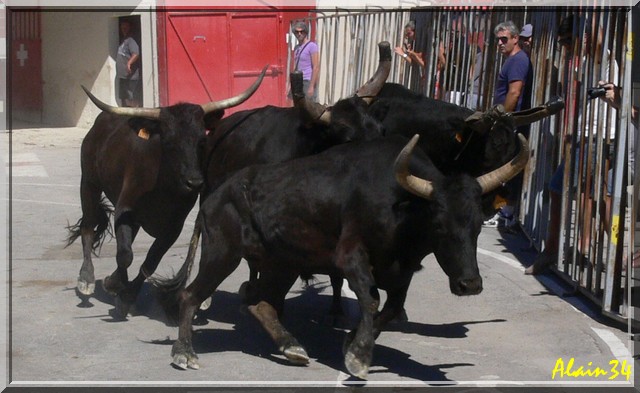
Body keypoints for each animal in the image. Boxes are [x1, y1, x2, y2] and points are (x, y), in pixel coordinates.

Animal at [152, 131, 528, 376]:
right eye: (439, 224)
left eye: (477, 224)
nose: (470, 284)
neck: (400, 203)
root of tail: (214, 196)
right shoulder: (350, 258)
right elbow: (371, 300)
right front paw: (359, 357)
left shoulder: (402, 271)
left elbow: (392, 309)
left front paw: (351, 342)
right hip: (222, 254)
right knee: (190, 295)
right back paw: (184, 353)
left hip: (282, 263)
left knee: (259, 302)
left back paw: (292, 347)